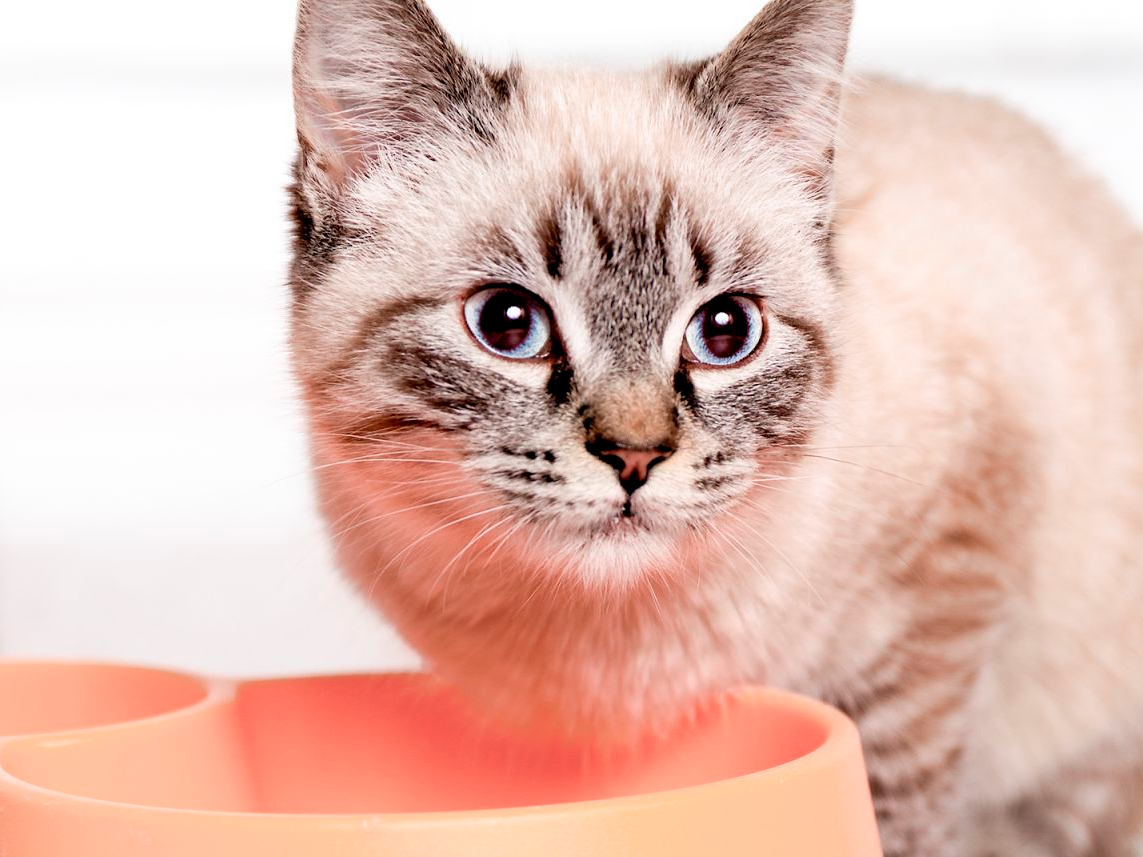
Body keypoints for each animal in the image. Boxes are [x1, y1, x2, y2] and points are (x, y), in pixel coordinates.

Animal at [285, 1, 1143, 854]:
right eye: (506, 323)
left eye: (725, 330)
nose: (634, 457)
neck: (598, 639)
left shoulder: (938, 604)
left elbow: (896, 811)